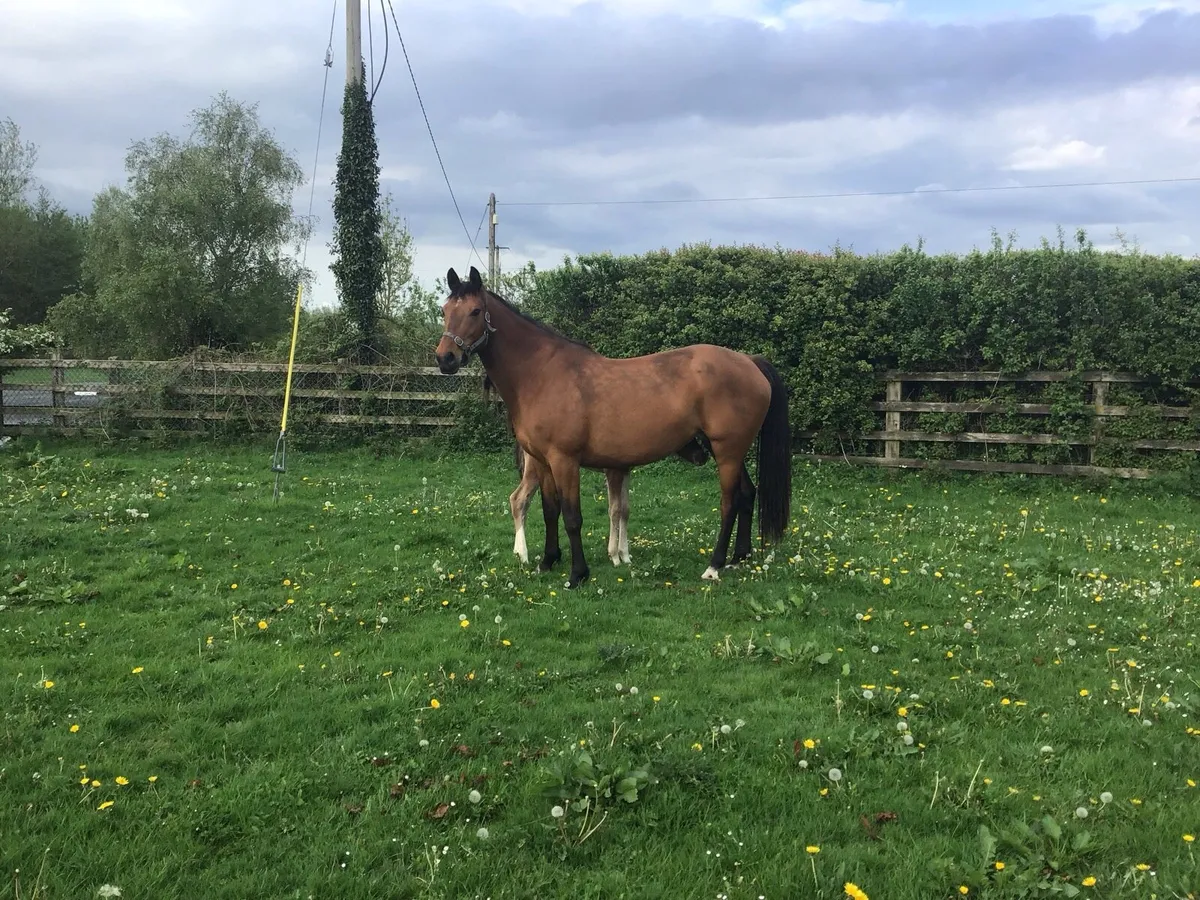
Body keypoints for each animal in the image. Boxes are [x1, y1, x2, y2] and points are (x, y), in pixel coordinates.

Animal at [436, 266, 791, 587]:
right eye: (445, 311)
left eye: (475, 311)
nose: (445, 358)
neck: (541, 373)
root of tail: (749, 361)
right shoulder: (542, 462)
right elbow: (550, 510)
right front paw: (547, 561)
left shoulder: (565, 461)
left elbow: (572, 517)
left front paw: (577, 575)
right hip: (730, 451)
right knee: (747, 494)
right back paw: (738, 558)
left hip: (727, 451)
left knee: (730, 502)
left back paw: (714, 566)